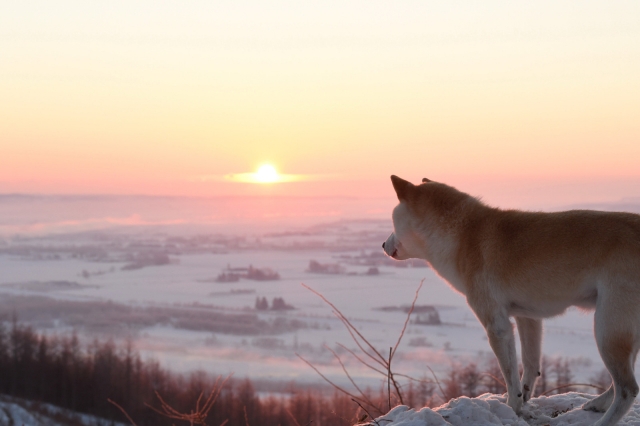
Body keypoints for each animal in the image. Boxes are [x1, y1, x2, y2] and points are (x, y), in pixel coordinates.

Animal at [382, 176, 640, 426]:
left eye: (392, 223)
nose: (383, 245)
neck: (463, 236)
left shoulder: (497, 326)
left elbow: (509, 374)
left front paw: (513, 406)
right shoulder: (528, 318)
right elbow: (530, 366)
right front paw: (524, 400)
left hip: (607, 331)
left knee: (628, 389)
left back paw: (604, 419)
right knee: (621, 384)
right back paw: (598, 404)